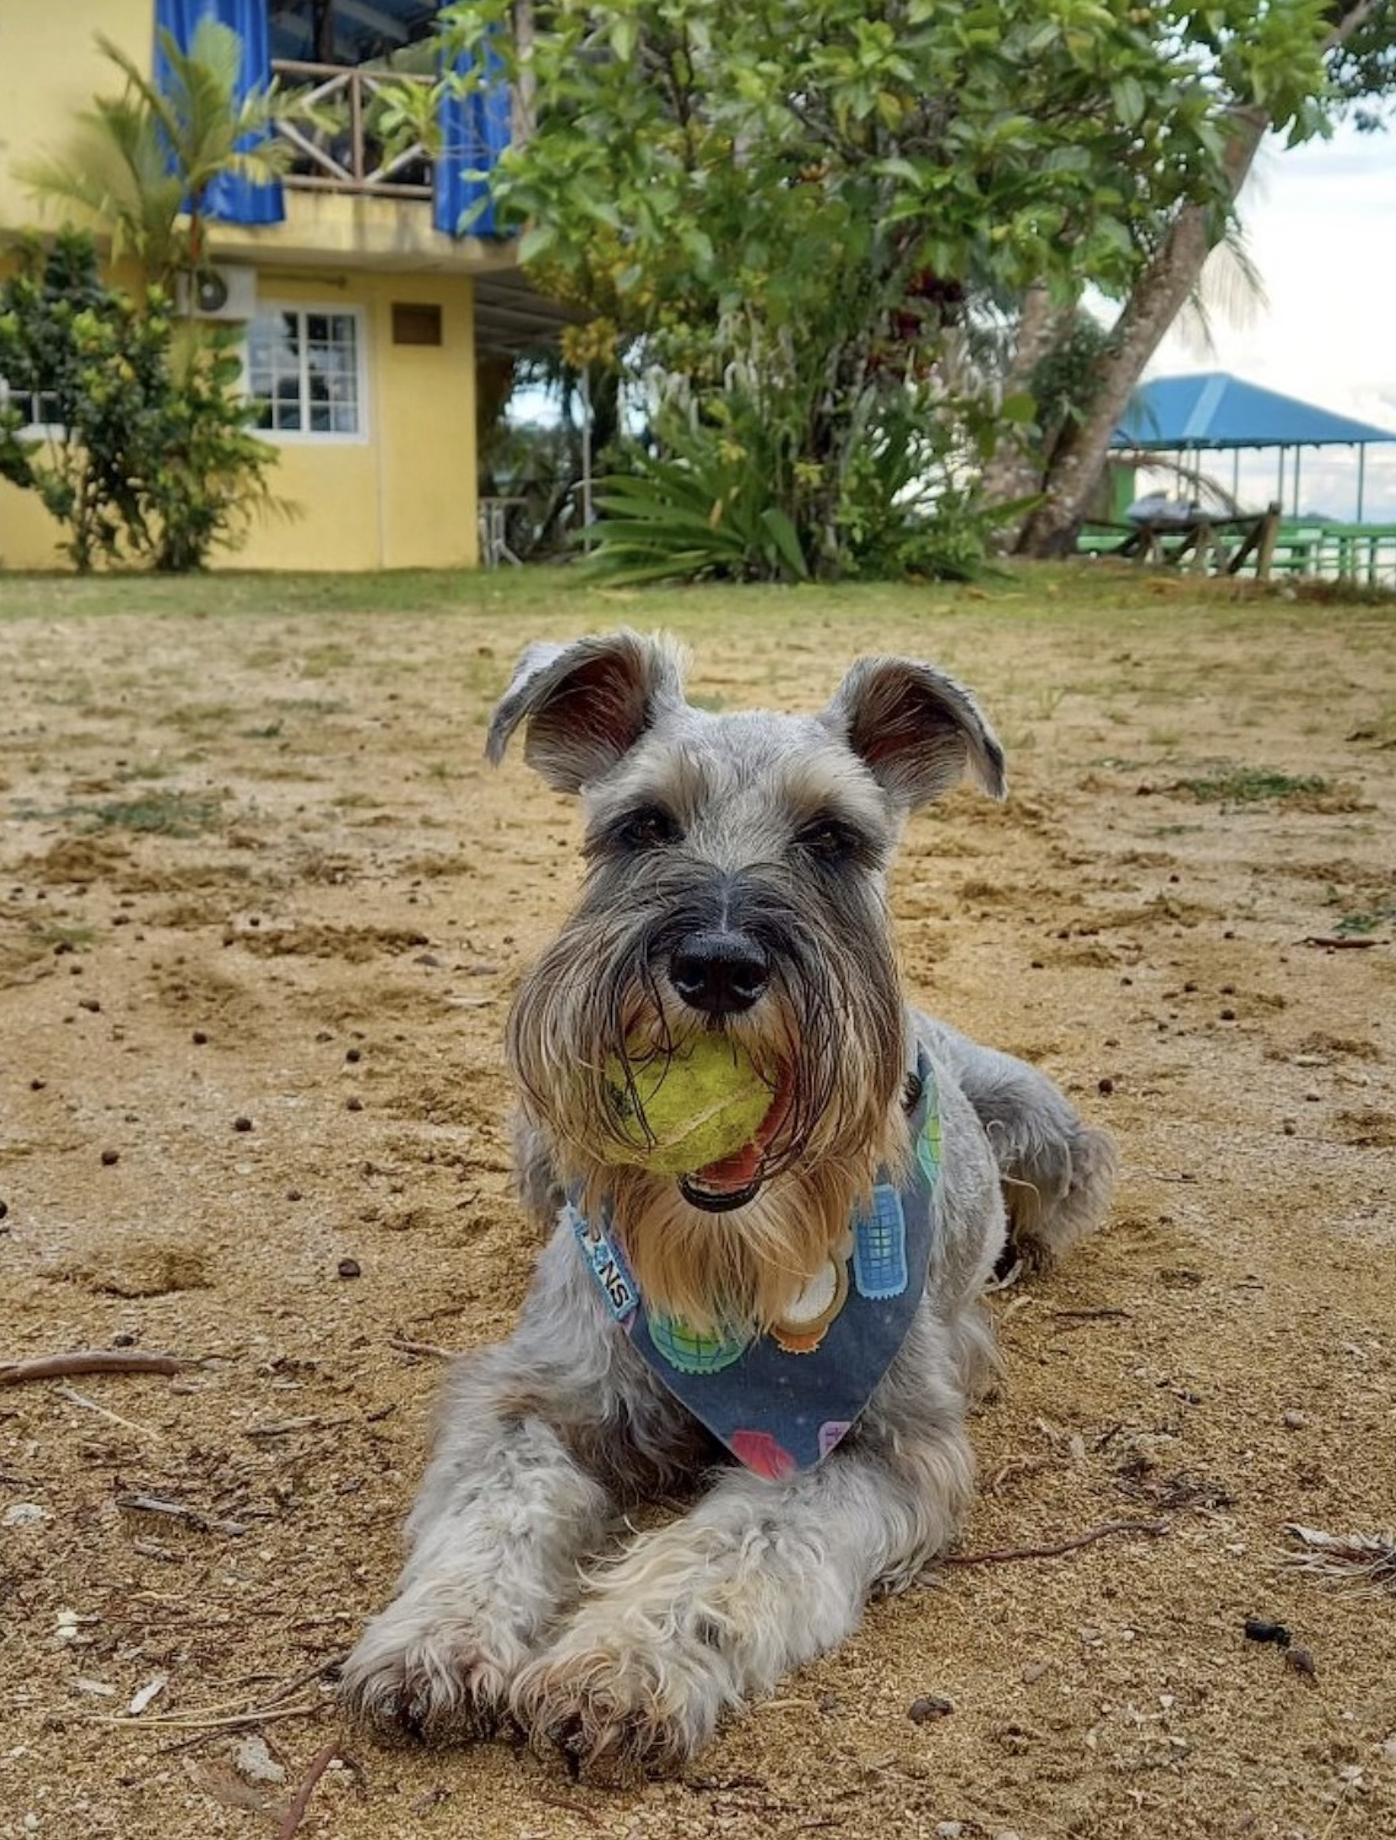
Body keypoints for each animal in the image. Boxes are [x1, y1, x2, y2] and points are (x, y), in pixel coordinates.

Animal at [343, 629, 1118, 1766]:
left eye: (834, 838)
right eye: (642, 824)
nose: (716, 966)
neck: (729, 1265)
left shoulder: (869, 1443)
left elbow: (739, 1542)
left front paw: (623, 1662)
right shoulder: (540, 1393)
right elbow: (497, 1510)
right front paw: (437, 1636)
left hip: (1048, 1131)